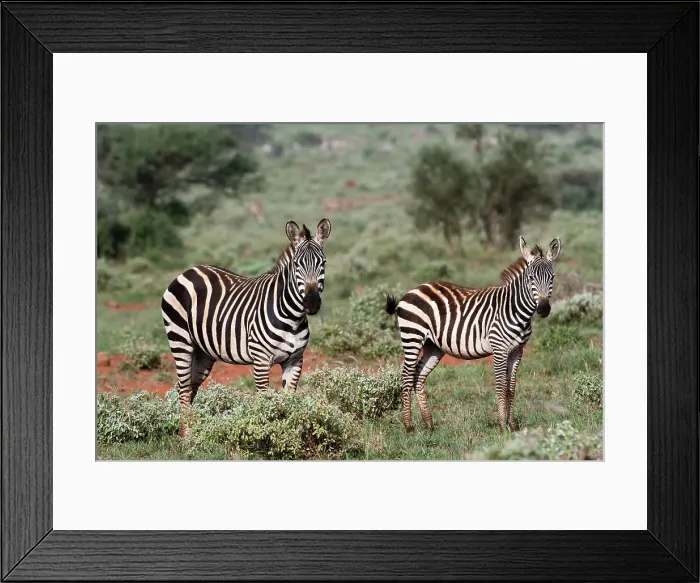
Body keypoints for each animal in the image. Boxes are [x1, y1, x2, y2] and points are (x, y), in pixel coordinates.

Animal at [161, 218, 331, 436]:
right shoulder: (261, 361)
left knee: (189, 387)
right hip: (180, 340)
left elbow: (289, 400)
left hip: (203, 352)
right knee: (183, 388)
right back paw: (186, 436)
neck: (292, 317)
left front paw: (289, 436)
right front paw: (264, 437)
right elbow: (263, 401)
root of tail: (188, 271)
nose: (312, 303)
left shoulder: (295, 360)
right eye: (296, 265)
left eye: (323, 263)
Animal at [385, 236, 562, 433]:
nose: (544, 309)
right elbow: (501, 386)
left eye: (552, 277)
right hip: (412, 336)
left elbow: (512, 387)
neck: (515, 310)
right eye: (531, 278)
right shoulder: (499, 349)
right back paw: (409, 426)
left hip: (433, 346)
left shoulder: (517, 352)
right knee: (407, 376)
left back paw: (429, 424)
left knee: (418, 376)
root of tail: (413, 290)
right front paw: (502, 426)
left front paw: (514, 425)